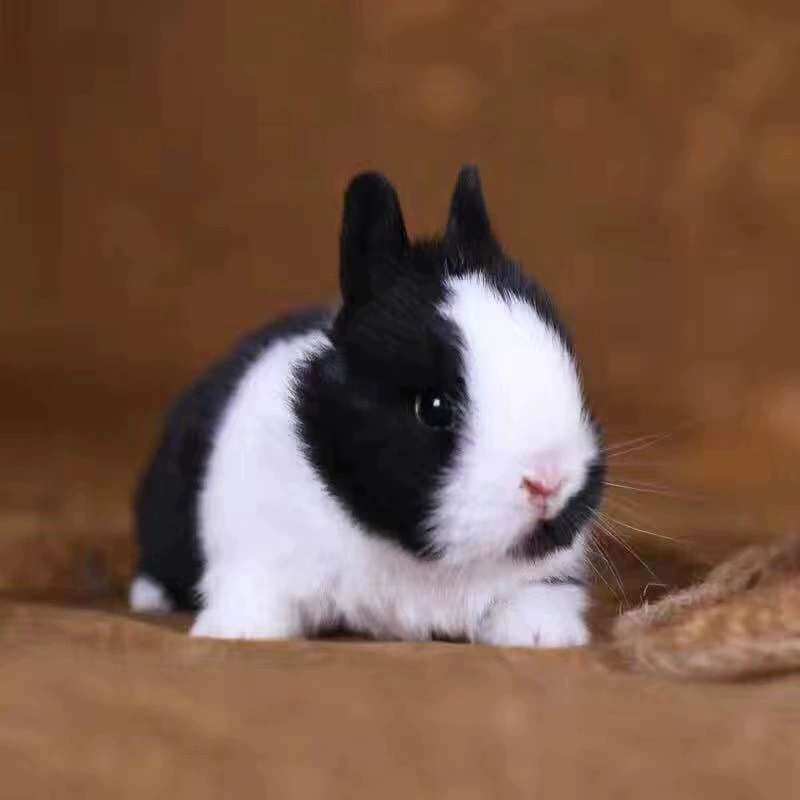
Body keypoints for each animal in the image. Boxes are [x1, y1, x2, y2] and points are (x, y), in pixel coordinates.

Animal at [130, 165, 606, 647]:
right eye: (433, 408)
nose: (548, 481)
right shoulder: (256, 555)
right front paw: (239, 631)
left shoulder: (544, 578)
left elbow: (536, 599)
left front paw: (543, 636)